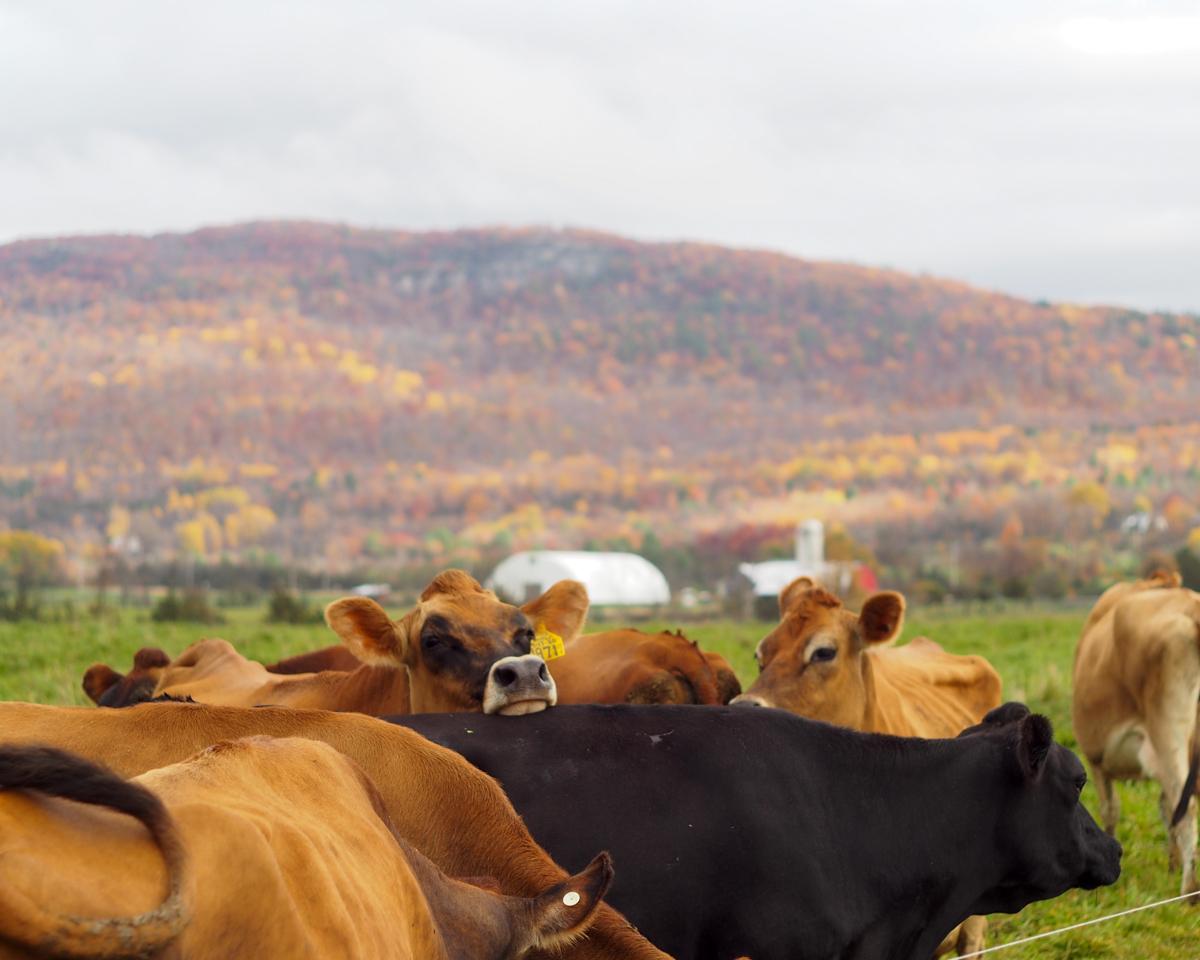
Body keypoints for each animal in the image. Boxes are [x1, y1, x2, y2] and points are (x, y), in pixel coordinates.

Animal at [1070, 571, 1200, 902]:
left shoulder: (1096, 761)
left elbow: (1109, 810)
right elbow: (1166, 809)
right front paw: (1171, 862)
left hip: (1166, 731)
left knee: (1186, 806)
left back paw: (1189, 890)